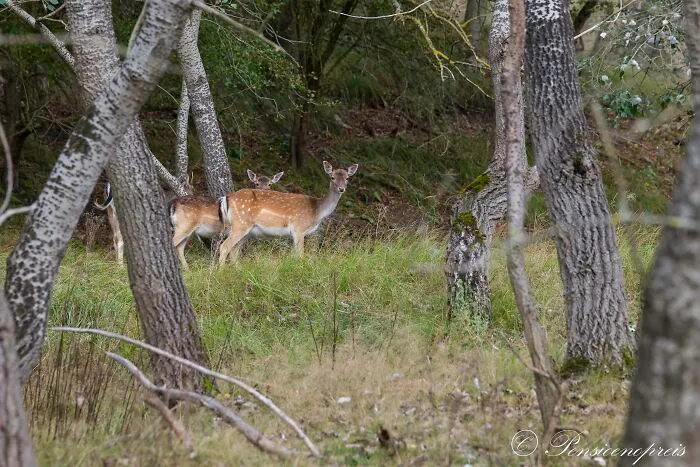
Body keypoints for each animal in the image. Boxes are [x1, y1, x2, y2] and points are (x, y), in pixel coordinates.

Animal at [218, 161, 358, 265]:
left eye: (347, 178)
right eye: (332, 177)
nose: (341, 189)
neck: (316, 211)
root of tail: (226, 198)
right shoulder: (298, 229)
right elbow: (300, 256)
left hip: (247, 231)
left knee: (234, 251)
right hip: (240, 224)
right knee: (224, 247)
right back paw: (220, 272)